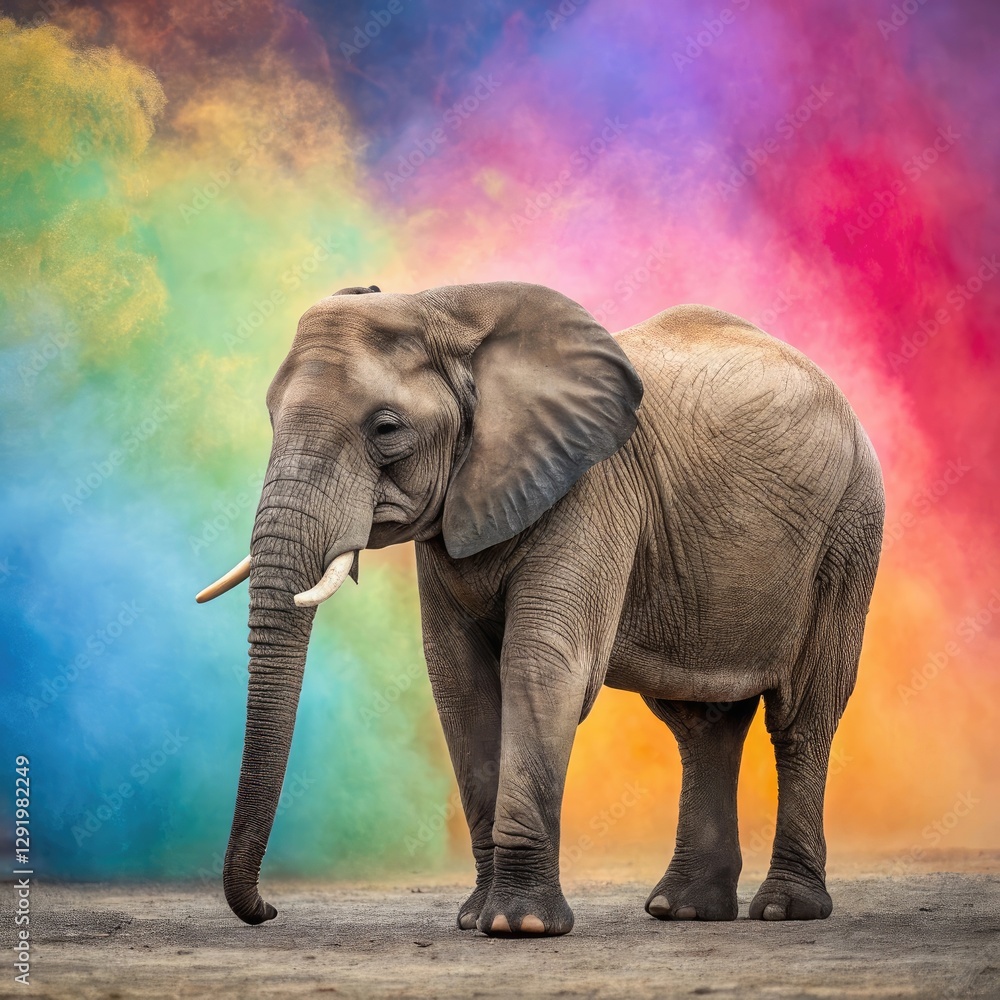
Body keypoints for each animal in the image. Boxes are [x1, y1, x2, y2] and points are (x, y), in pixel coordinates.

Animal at [196, 281, 884, 936]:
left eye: (386, 429)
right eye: (270, 415)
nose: (268, 911)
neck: (449, 311)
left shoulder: (594, 486)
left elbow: (540, 665)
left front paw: (517, 925)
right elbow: (461, 682)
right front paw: (475, 919)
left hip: (850, 529)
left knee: (803, 715)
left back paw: (784, 909)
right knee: (700, 723)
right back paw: (683, 910)